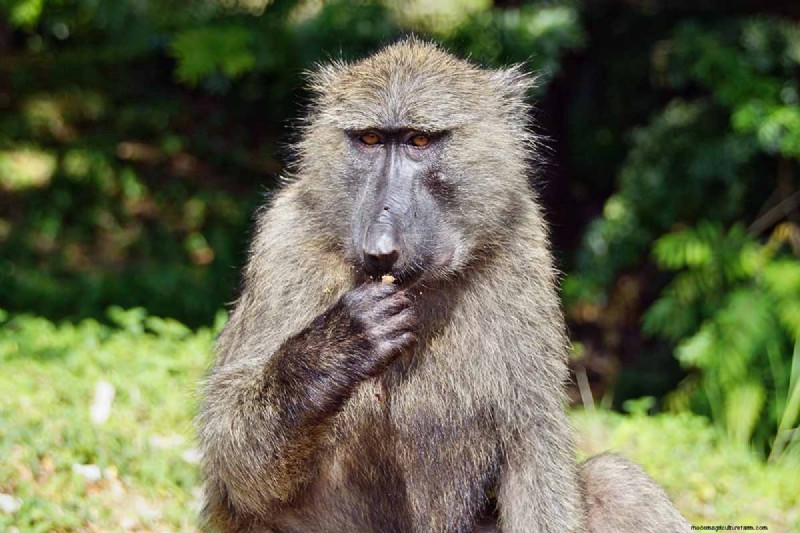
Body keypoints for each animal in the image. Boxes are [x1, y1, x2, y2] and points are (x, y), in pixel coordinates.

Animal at [197, 38, 690, 532]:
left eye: (419, 140)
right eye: (370, 139)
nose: (380, 246)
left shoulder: (521, 244)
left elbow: (533, 445)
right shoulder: (285, 241)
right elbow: (231, 457)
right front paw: (340, 343)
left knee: (616, 481)